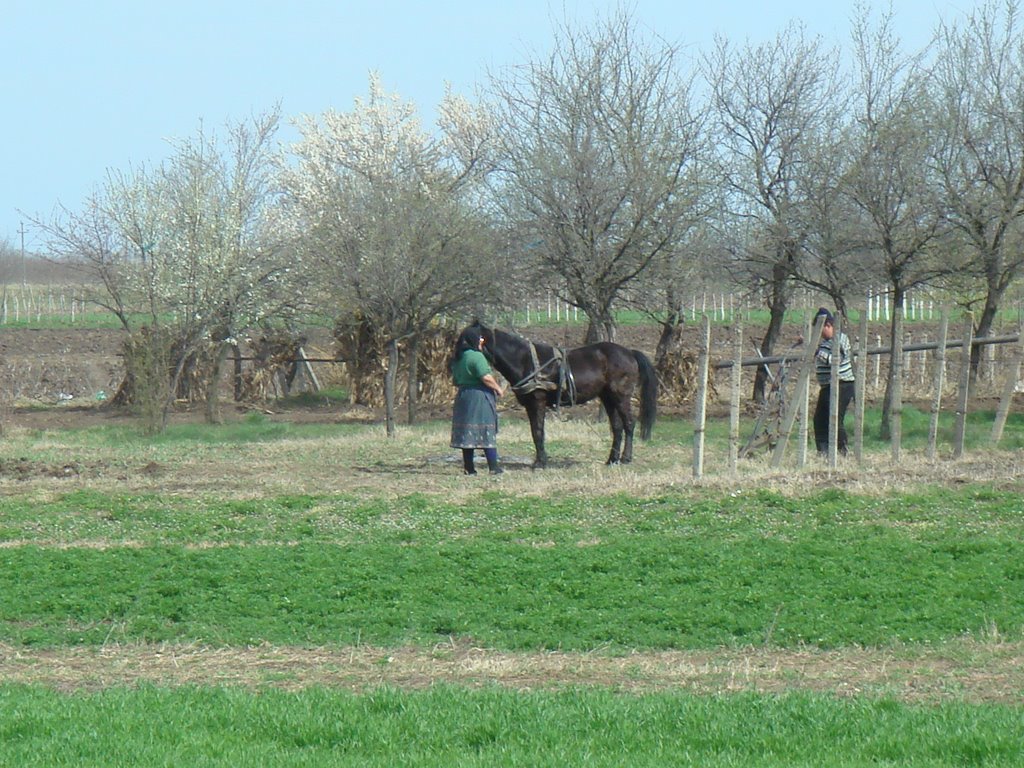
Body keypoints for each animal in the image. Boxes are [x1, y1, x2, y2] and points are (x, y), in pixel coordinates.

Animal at [468, 321, 659, 466]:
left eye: (466, 339)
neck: (526, 360)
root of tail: (629, 352)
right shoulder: (529, 405)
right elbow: (535, 432)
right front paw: (540, 460)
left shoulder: (537, 402)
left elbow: (538, 431)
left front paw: (540, 462)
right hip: (607, 398)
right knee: (617, 427)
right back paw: (612, 460)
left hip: (621, 397)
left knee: (629, 424)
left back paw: (626, 458)